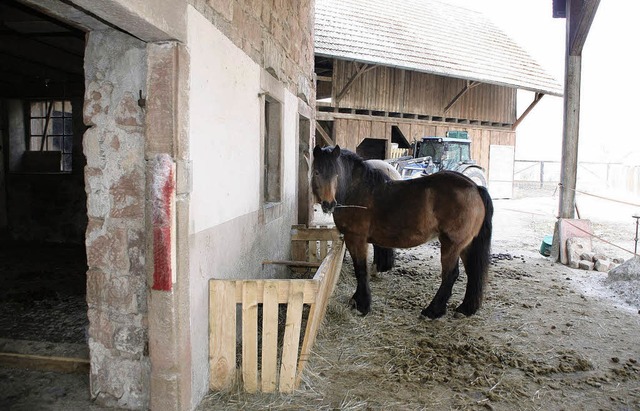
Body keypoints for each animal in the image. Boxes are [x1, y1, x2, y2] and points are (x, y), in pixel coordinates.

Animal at [312, 145, 496, 318]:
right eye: (316, 172)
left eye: (336, 174)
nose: (328, 204)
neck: (357, 190)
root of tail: (475, 186)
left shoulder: (356, 239)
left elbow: (360, 270)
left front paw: (362, 305)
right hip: (465, 245)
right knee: (472, 273)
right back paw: (465, 309)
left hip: (451, 245)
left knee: (450, 275)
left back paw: (432, 311)